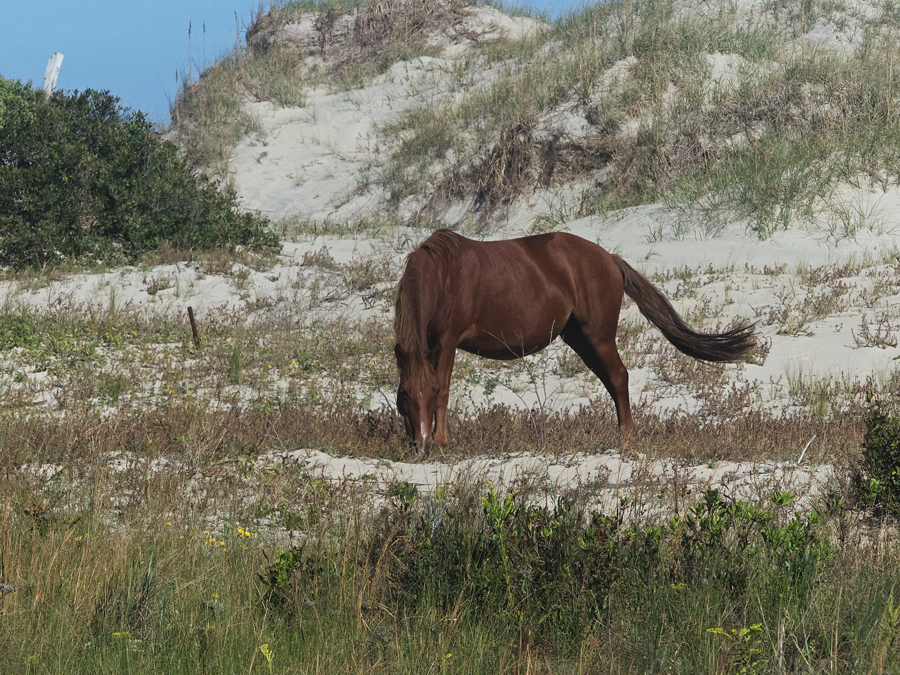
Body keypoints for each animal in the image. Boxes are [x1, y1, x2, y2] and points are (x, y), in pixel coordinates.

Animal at [393, 229, 757, 452]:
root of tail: (609, 258)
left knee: (619, 377)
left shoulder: (448, 340)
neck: (444, 275)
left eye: (427, 393)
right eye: (404, 395)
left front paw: (443, 442)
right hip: (580, 339)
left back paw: (626, 439)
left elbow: (445, 389)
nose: (421, 445)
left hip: (598, 335)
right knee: (611, 381)